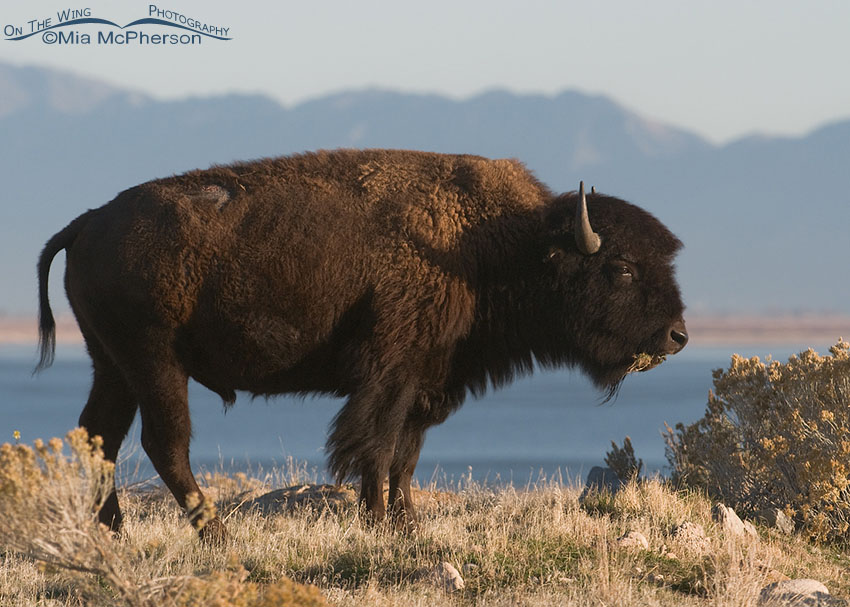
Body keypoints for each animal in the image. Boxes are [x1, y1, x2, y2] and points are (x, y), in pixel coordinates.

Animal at [36, 150, 684, 540]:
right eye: (623, 269)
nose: (677, 336)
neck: (487, 244)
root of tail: (88, 221)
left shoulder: (427, 380)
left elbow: (405, 457)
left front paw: (407, 524)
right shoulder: (390, 376)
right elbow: (376, 448)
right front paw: (379, 523)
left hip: (112, 365)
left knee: (100, 436)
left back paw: (111, 532)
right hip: (156, 364)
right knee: (164, 444)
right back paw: (216, 535)